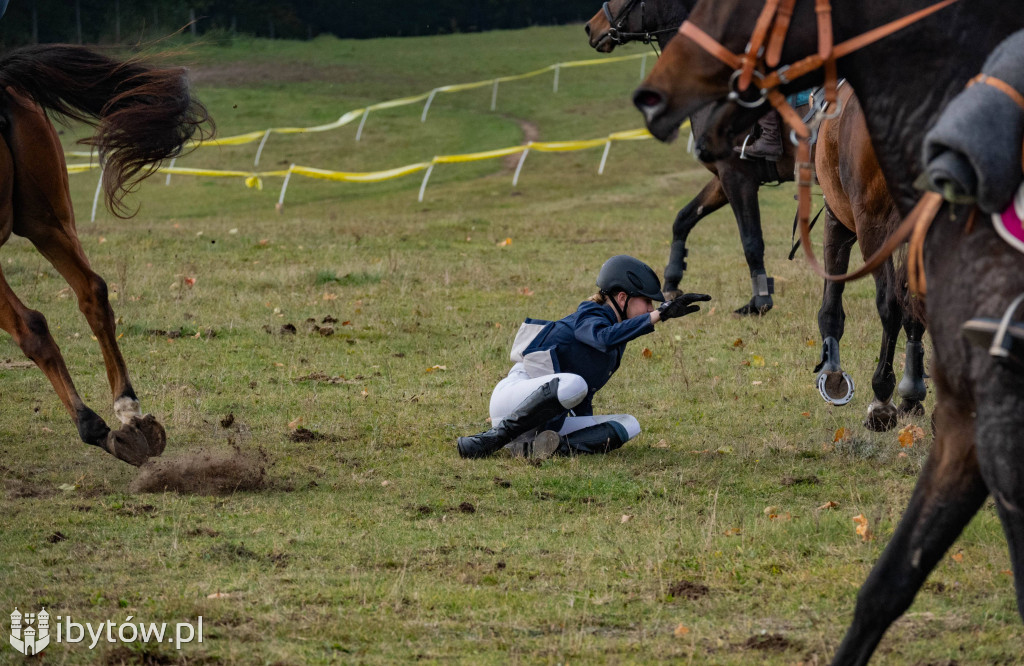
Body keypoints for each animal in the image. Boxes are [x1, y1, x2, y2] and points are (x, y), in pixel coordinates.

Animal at [589, 0, 794, 313]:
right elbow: (683, 219)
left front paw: (759, 301)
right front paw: (672, 282)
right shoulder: (722, 179)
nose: (591, 27)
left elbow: (751, 240)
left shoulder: (736, 176)